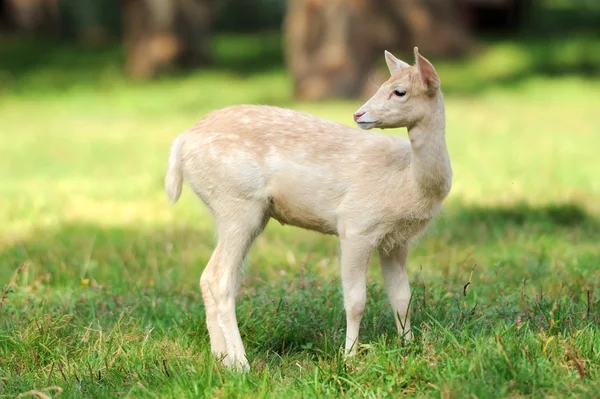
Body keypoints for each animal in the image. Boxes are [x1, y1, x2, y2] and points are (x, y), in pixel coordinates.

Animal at [166, 47, 452, 372]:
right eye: (383, 85)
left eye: (399, 90)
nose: (359, 113)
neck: (407, 181)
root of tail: (181, 143)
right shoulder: (356, 224)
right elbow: (356, 300)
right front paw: (349, 358)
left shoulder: (397, 241)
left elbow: (402, 297)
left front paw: (409, 348)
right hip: (237, 203)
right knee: (220, 279)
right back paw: (242, 365)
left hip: (233, 210)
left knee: (209, 276)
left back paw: (219, 359)